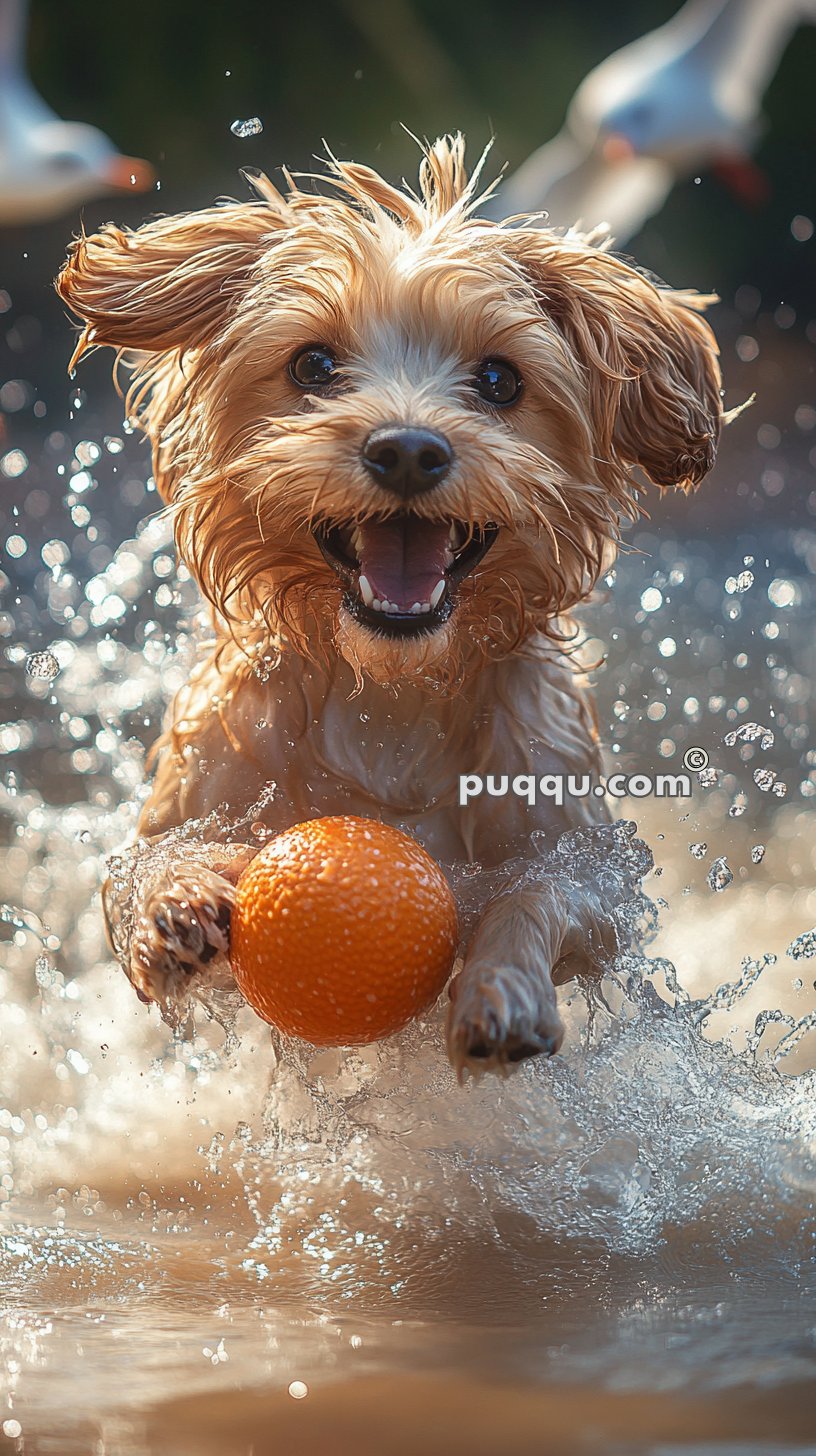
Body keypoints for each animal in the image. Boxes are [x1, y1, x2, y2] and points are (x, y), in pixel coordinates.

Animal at [54, 131, 722, 1077]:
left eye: (499, 378)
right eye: (313, 364)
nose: (407, 449)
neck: (391, 695)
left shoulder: (591, 869)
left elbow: (540, 893)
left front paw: (503, 989)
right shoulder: (185, 801)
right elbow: (141, 868)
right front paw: (175, 898)